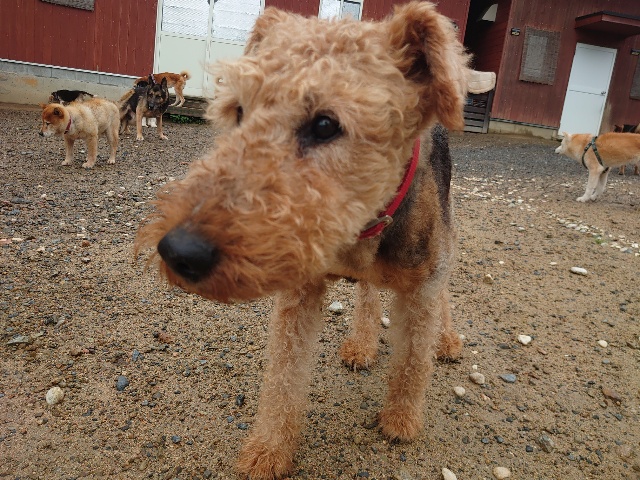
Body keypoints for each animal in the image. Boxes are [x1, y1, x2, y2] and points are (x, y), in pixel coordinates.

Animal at [135, 3, 468, 478]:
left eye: (326, 124)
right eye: (239, 111)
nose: (178, 252)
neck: (359, 230)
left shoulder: (422, 282)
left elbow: (412, 358)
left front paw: (401, 419)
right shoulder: (300, 291)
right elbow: (284, 375)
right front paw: (268, 450)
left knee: (440, 297)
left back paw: (447, 341)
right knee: (369, 294)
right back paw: (361, 344)